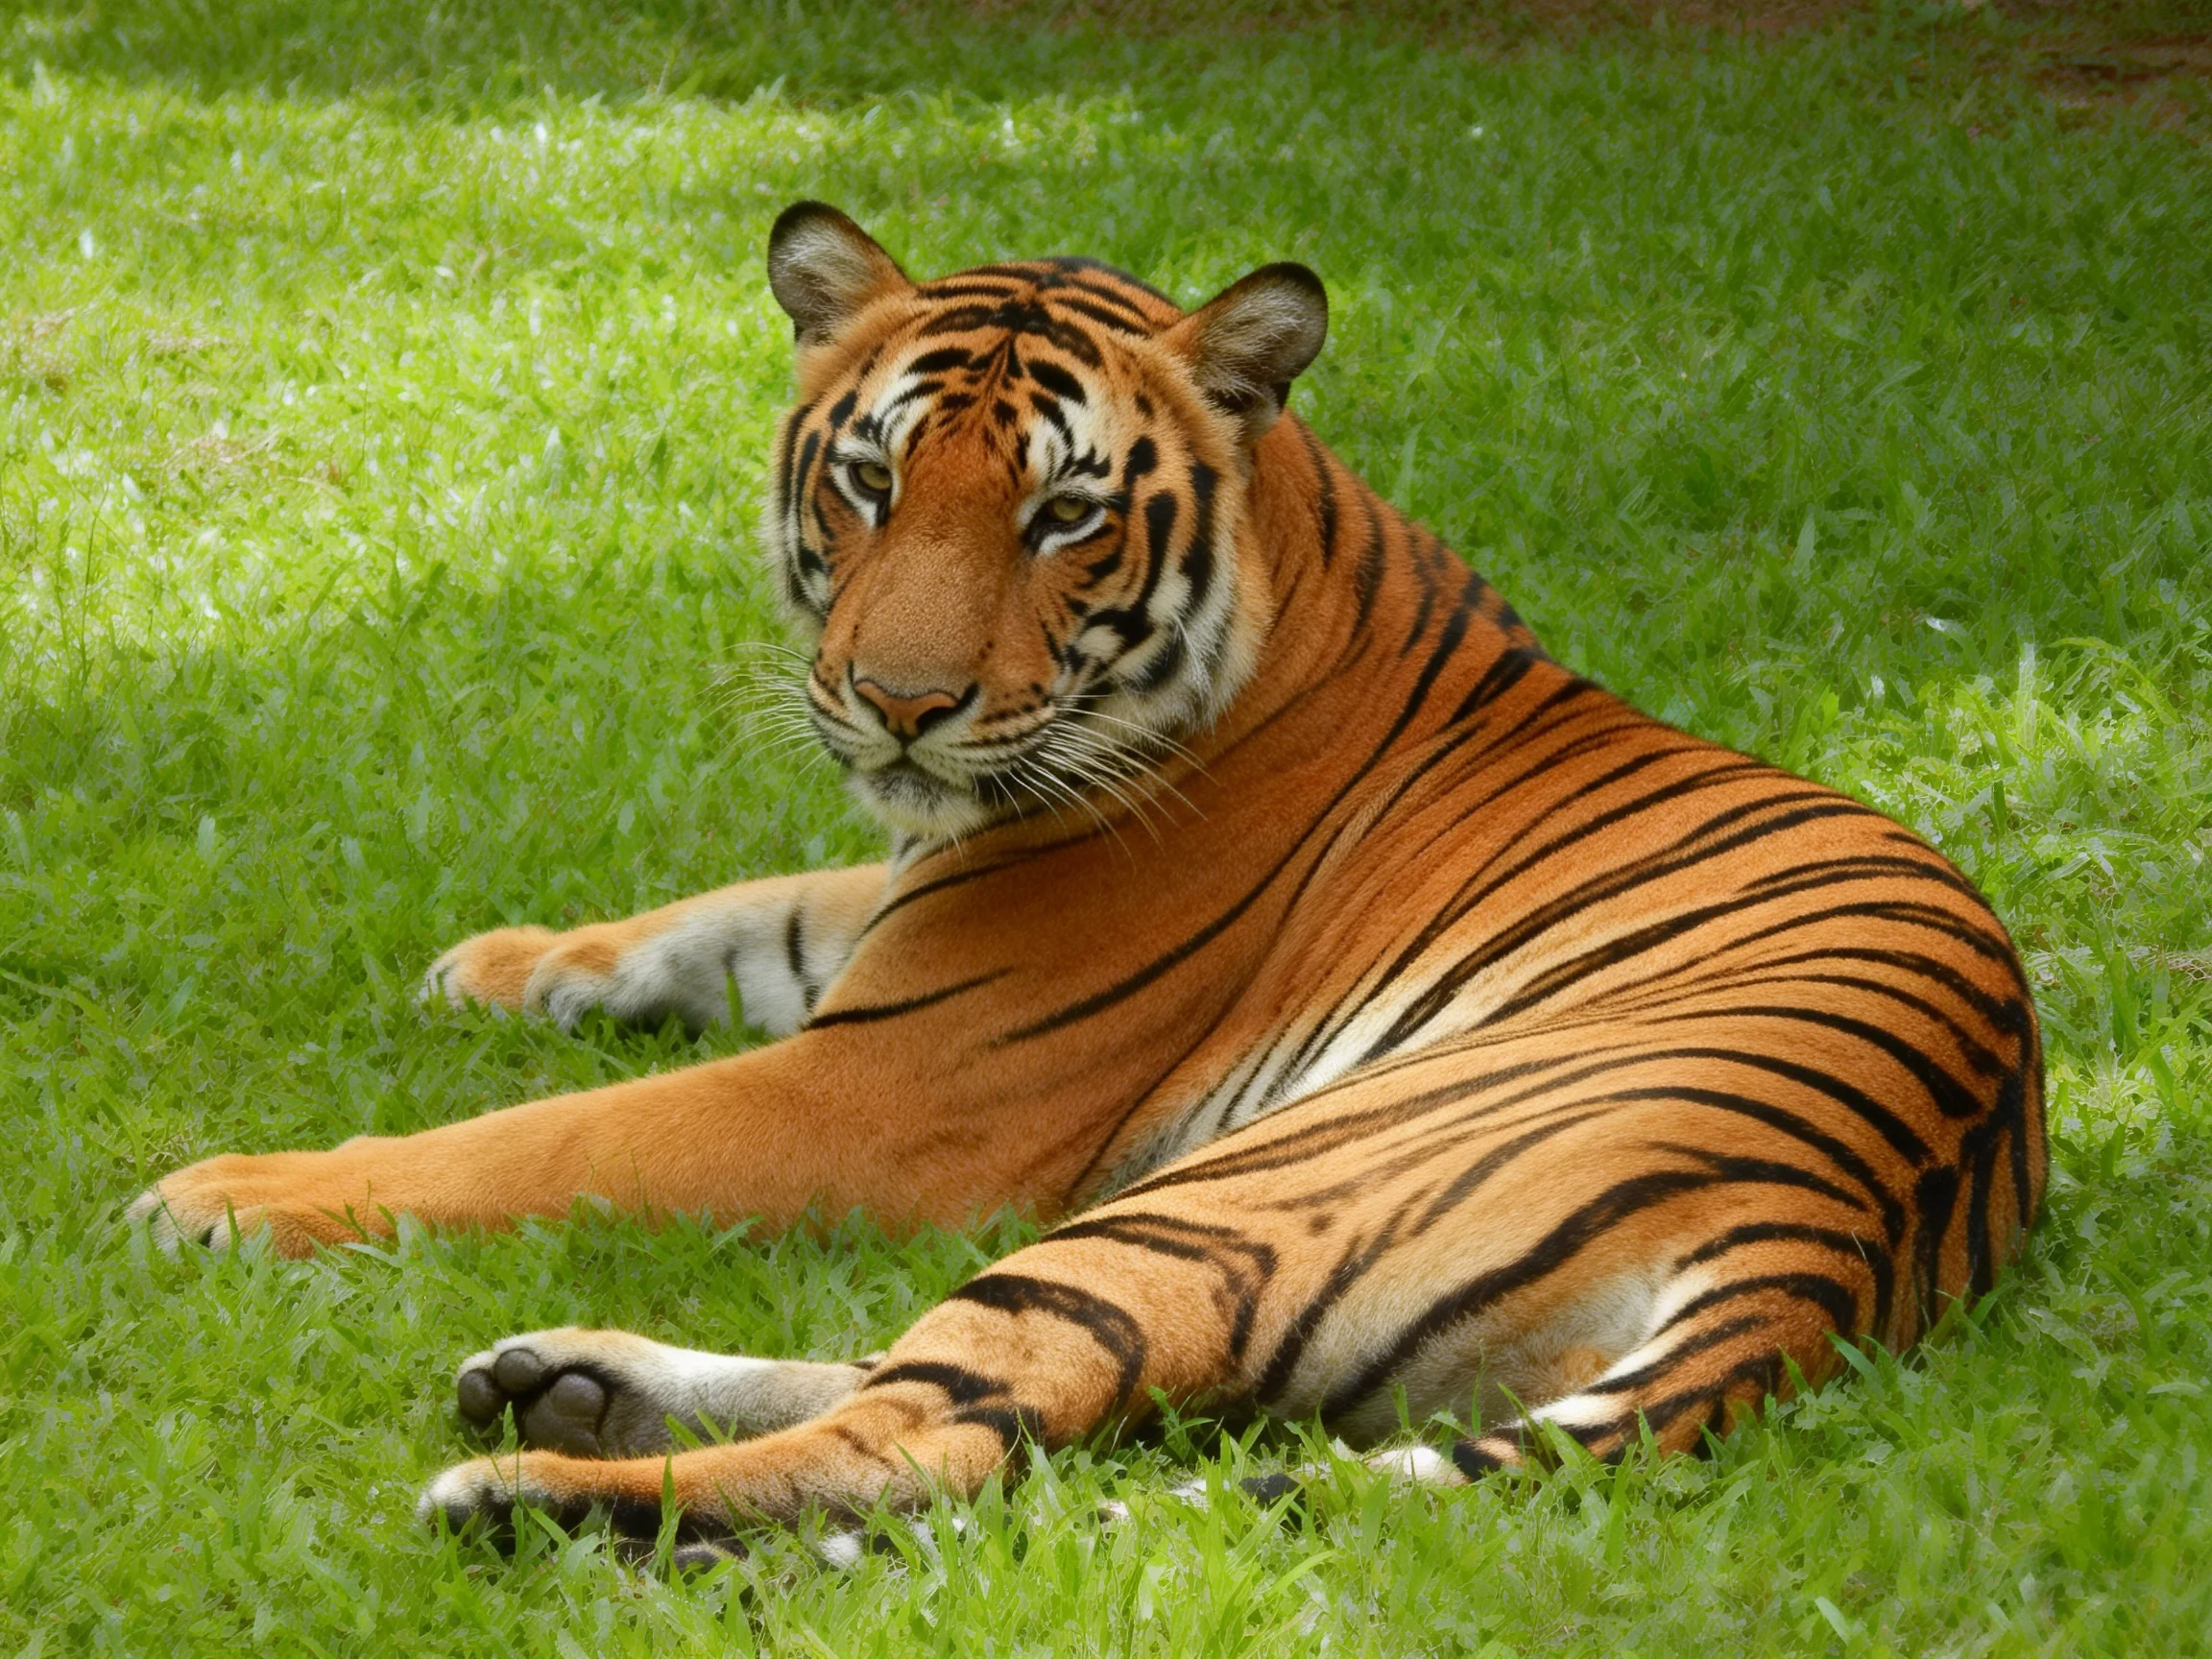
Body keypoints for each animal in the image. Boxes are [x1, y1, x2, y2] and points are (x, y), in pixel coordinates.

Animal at [129, 202, 2045, 1559]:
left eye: (1063, 516)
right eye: (870, 478)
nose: (897, 700)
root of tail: (1835, 1232)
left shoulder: (889, 1082)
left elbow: (535, 1144)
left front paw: (224, 1191)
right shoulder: (904, 904)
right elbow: (738, 905)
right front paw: (506, 960)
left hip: (1218, 1194)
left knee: (935, 1437)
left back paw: (535, 1489)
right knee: (966, 1395)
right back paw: (569, 1381)